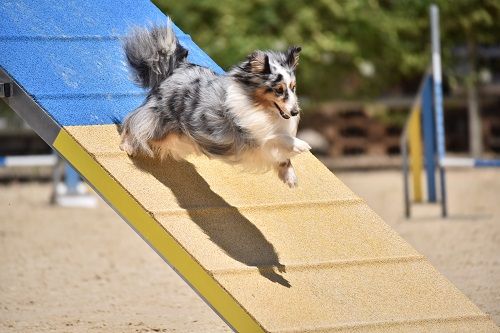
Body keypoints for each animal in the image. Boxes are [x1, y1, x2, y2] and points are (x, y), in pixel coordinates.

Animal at [120, 25, 308, 187]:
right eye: (279, 90)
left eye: (293, 87)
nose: (295, 112)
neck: (261, 109)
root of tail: (178, 67)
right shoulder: (248, 135)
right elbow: (275, 137)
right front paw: (301, 145)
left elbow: (283, 156)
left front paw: (290, 178)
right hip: (162, 122)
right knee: (137, 122)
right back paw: (128, 146)